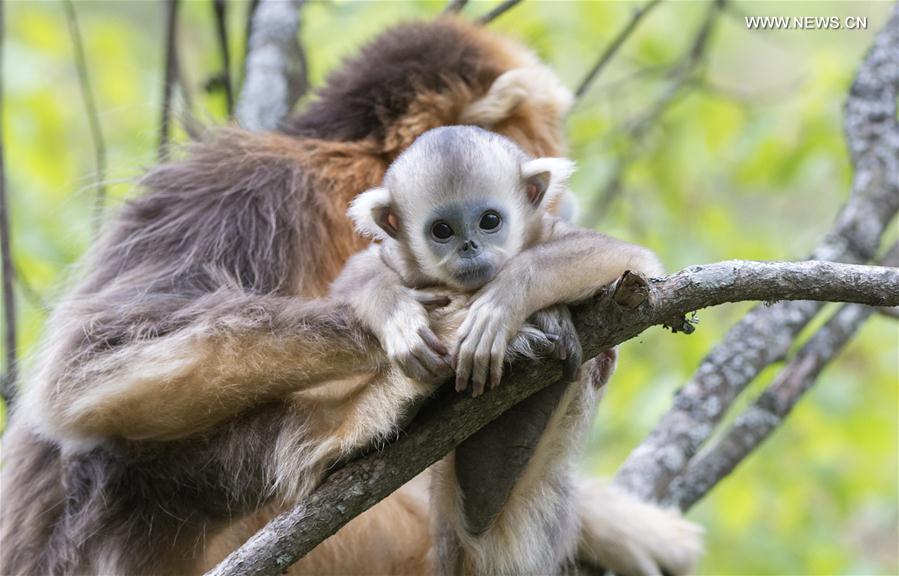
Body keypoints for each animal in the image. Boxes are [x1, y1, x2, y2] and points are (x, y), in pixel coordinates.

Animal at [0, 15, 702, 576]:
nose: (559, 199)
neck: (344, 167)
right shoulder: (248, 187)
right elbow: (89, 363)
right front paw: (434, 327)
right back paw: (364, 421)